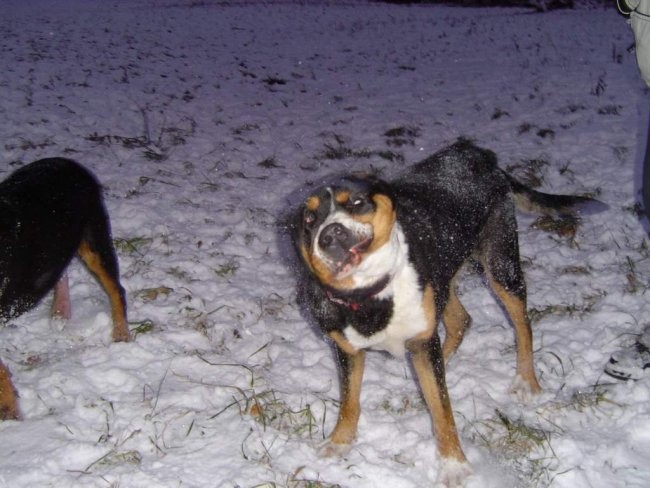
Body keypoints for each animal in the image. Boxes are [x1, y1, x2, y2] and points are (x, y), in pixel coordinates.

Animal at [0, 158, 129, 422]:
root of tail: (69, 162)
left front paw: (9, 411)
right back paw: (60, 311)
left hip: (94, 239)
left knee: (117, 290)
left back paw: (121, 335)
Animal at [288, 139, 604, 486]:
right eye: (310, 219)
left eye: (357, 202)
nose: (330, 235)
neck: (371, 295)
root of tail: (476, 152)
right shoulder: (348, 350)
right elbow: (349, 401)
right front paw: (340, 442)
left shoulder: (422, 340)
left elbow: (442, 410)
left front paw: (453, 464)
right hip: (445, 274)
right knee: (460, 321)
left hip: (501, 264)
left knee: (522, 325)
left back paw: (525, 380)